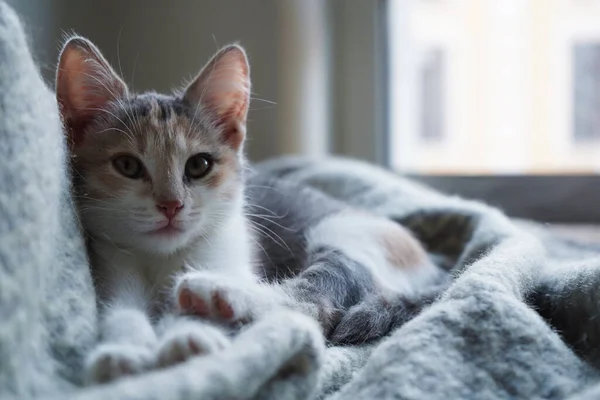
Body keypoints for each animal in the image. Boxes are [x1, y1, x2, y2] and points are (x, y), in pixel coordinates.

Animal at [55, 36, 440, 384]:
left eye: (199, 165)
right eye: (127, 166)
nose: (171, 204)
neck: (161, 258)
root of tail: (434, 269)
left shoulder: (228, 253)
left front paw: (187, 336)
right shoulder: (110, 268)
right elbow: (120, 313)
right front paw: (123, 352)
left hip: (349, 239)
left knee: (313, 302)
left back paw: (216, 292)